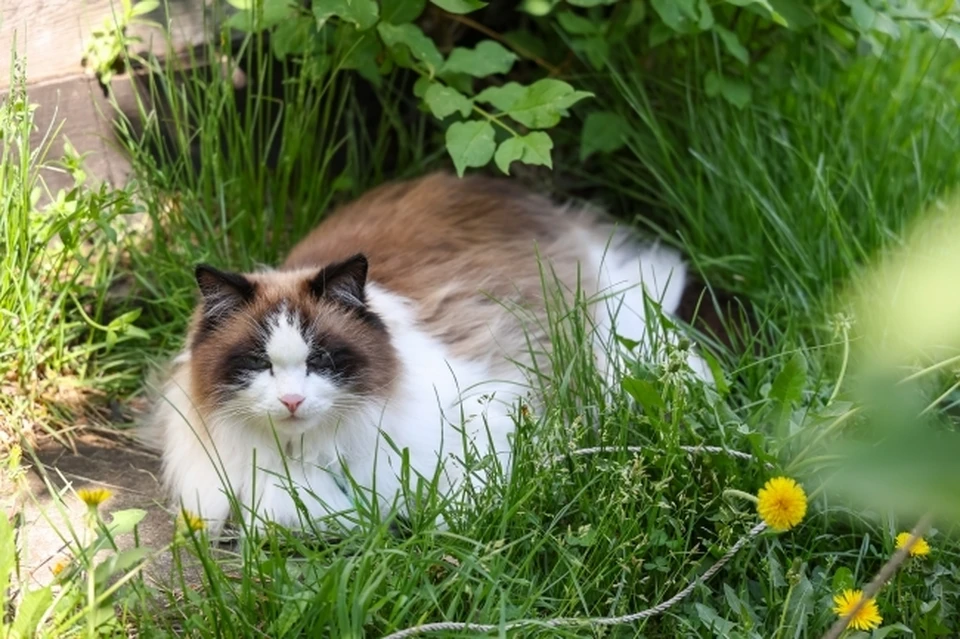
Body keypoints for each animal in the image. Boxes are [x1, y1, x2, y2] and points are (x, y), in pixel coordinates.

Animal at [144, 171, 712, 536]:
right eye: (261, 364)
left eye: (320, 361)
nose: (291, 402)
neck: (314, 451)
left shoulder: (489, 417)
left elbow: (459, 511)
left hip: (607, 337)